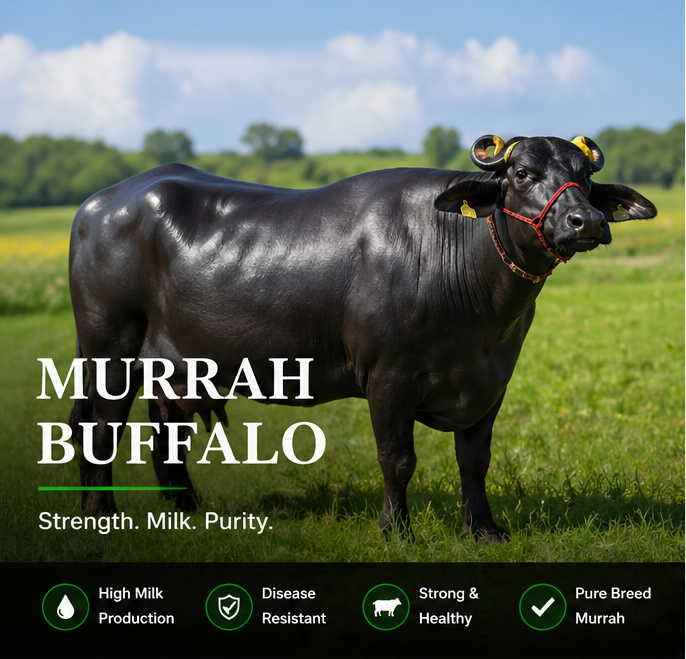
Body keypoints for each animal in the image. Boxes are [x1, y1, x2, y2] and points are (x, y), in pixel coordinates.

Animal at [68, 134, 656, 541]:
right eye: (523, 173)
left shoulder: (491, 382)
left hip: (176, 367)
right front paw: (397, 530)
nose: (587, 220)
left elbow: (475, 459)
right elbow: (397, 459)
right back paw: (102, 515)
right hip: (110, 353)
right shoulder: (389, 377)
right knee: (100, 432)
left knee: (167, 436)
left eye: (584, 176)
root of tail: (97, 205)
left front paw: (483, 529)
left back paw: (187, 512)